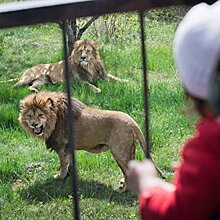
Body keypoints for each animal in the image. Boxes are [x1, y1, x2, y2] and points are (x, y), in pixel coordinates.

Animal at [18, 90, 162, 192]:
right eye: (29, 115)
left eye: (40, 115)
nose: (34, 124)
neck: (54, 119)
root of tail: (132, 122)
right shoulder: (68, 147)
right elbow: (70, 163)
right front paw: (70, 176)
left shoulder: (62, 146)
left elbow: (63, 164)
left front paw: (60, 177)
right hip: (130, 150)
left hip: (119, 152)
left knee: (127, 171)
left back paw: (122, 189)